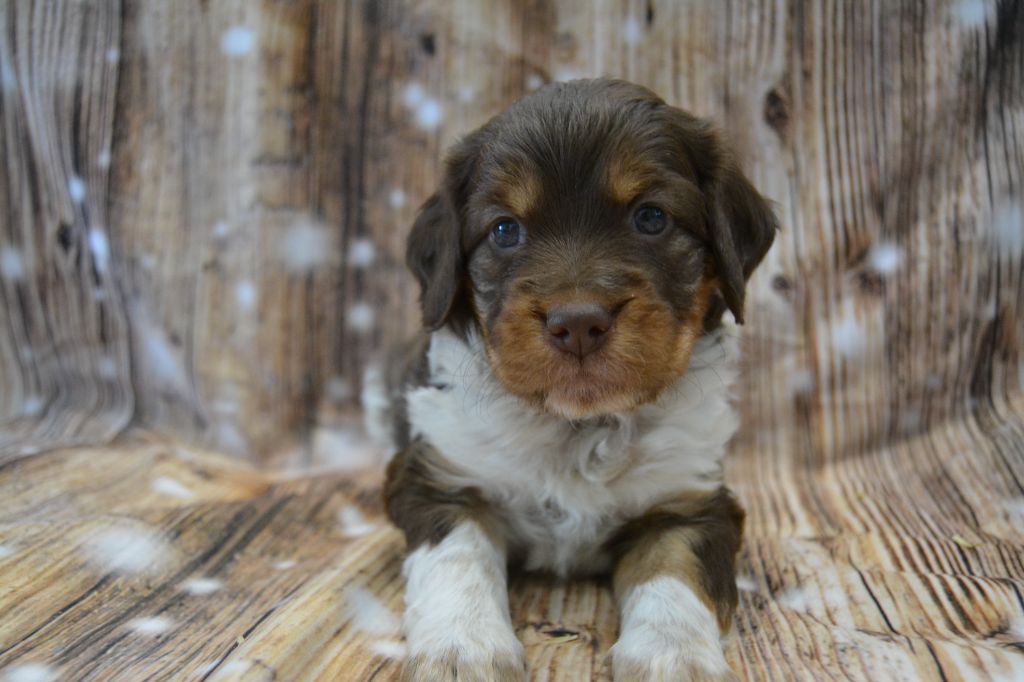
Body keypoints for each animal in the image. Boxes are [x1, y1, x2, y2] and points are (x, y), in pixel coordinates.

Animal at [368, 78, 774, 679]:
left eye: (651, 218)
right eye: (505, 230)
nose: (578, 323)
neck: (579, 425)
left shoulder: (689, 499)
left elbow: (675, 572)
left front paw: (672, 655)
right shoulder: (438, 477)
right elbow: (458, 556)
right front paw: (462, 648)